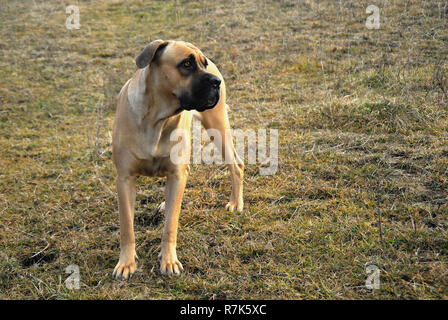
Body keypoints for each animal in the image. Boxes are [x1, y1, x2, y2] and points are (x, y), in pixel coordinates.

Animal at [112, 40, 245, 280]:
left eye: (203, 64)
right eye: (186, 64)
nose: (216, 82)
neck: (156, 119)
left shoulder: (176, 173)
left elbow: (170, 224)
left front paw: (168, 260)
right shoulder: (124, 179)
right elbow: (127, 225)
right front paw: (126, 263)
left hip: (217, 126)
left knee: (236, 165)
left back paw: (235, 203)